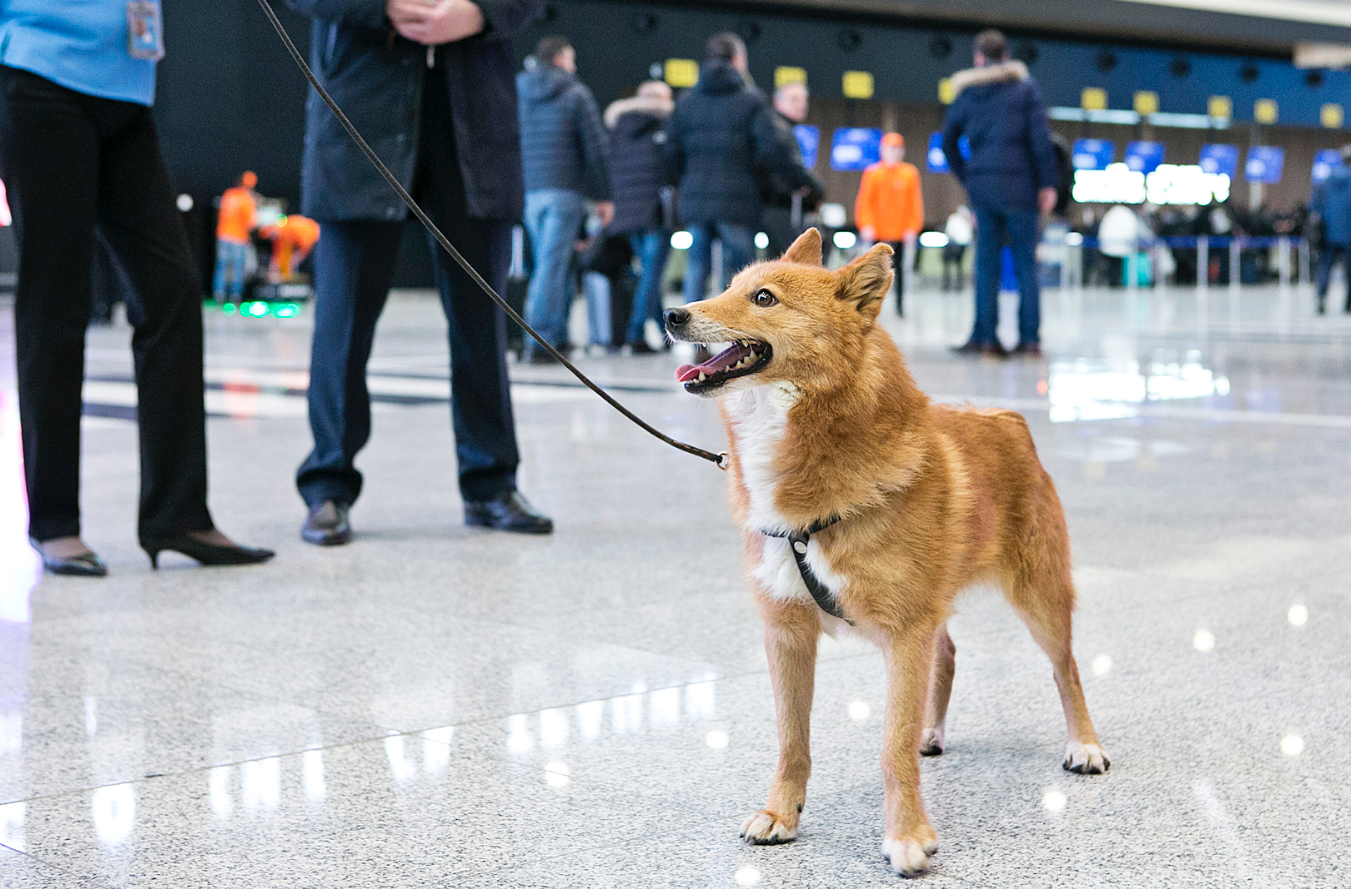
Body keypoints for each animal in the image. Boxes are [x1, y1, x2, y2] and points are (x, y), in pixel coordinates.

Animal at [664, 228, 1107, 870]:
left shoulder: (903, 634)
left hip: (1039, 597)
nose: (672, 315)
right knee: (947, 655)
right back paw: (933, 731)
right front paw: (780, 813)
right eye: (729, 285)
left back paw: (1085, 744)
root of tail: (1006, 417)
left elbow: (890, 746)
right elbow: (792, 739)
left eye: (764, 297)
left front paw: (906, 836)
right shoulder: (787, 632)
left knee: (1065, 668)